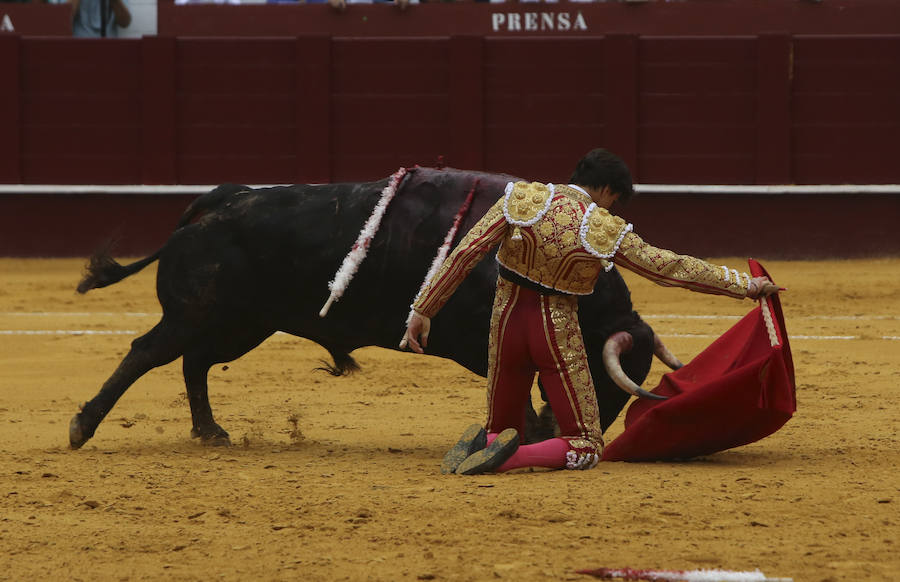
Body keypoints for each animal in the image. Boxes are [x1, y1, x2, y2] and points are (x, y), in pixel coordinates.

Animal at [70, 169, 656, 452]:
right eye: (607, 379)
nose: (593, 430)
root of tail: (220, 200)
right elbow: (509, 374)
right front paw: (527, 432)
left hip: (241, 324)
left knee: (194, 363)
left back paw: (210, 432)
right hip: (196, 315)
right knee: (147, 352)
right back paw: (82, 426)